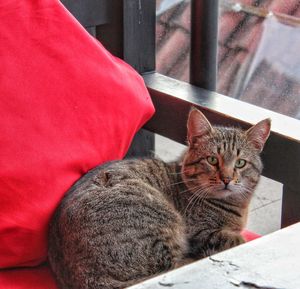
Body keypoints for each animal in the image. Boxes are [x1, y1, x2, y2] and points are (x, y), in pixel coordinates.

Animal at [48, 108, 270, 288]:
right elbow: (236, 239)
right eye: (212, 159)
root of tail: (84, 277)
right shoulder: (200, 232)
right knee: (173, 267)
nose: (226, 179)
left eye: (240, 163)